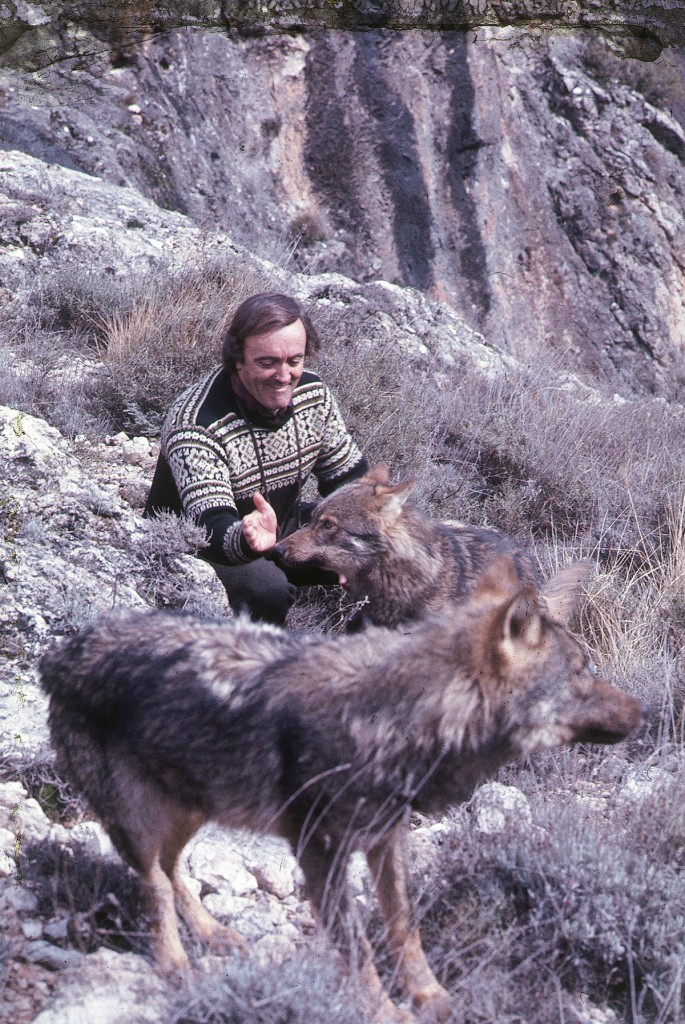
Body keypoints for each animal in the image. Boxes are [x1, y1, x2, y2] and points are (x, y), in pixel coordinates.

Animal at [38, 561, 643, 1024]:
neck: (403, 720)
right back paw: (175, 964)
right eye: (582, 673)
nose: (644, 713)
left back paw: (215, 935)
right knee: (155, 886)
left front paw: (433, 997)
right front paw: (386, 1012)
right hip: (143, 820)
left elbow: (405, 929)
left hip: (195, 806)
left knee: (171, 871)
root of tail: (62, 651)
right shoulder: (320, 852)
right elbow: (358, 949)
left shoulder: (387, 839)